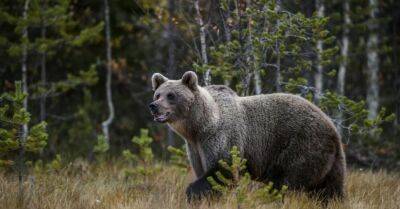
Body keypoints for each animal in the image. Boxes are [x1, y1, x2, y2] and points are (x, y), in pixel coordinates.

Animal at [148, 70, 346, 202]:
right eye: (158, 94)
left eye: (171, 95)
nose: (153, 106)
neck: (199, 127)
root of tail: (332, 127)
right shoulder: (195, 148)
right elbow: (205, 171)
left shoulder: (221, 137)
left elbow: (222, 170)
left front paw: (192, 193)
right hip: (329, 160)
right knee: (329, 189)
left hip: (301, 145)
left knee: (287, 181)